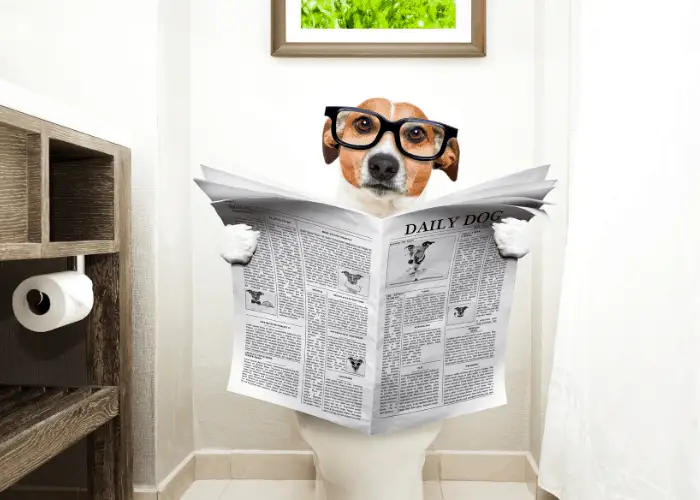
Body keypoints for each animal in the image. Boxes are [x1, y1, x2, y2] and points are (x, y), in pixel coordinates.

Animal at [219, 99, 532, 266]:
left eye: (416, 133)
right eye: (364, 124)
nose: (383, 164)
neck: (381, 212)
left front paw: (512, 235)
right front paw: (237, 241)